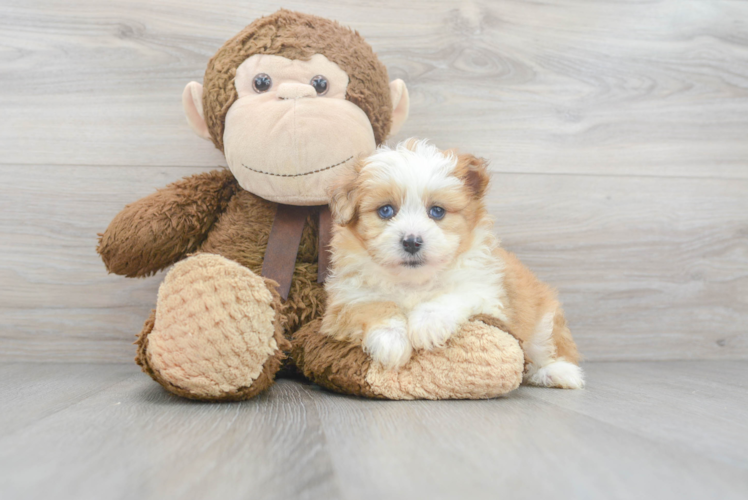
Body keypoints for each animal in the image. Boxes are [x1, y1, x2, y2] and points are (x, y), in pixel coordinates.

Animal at [322, 139, 584, 388]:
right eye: (386, 210)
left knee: (551, 346)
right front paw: (391, 340)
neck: (413, 282)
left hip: (544, 320)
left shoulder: (485, 291)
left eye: (437, 211)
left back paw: (558, 372)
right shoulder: (345, 301)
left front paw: (426, 324)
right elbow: (372, 305)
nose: (412, 242)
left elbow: (452, 294)